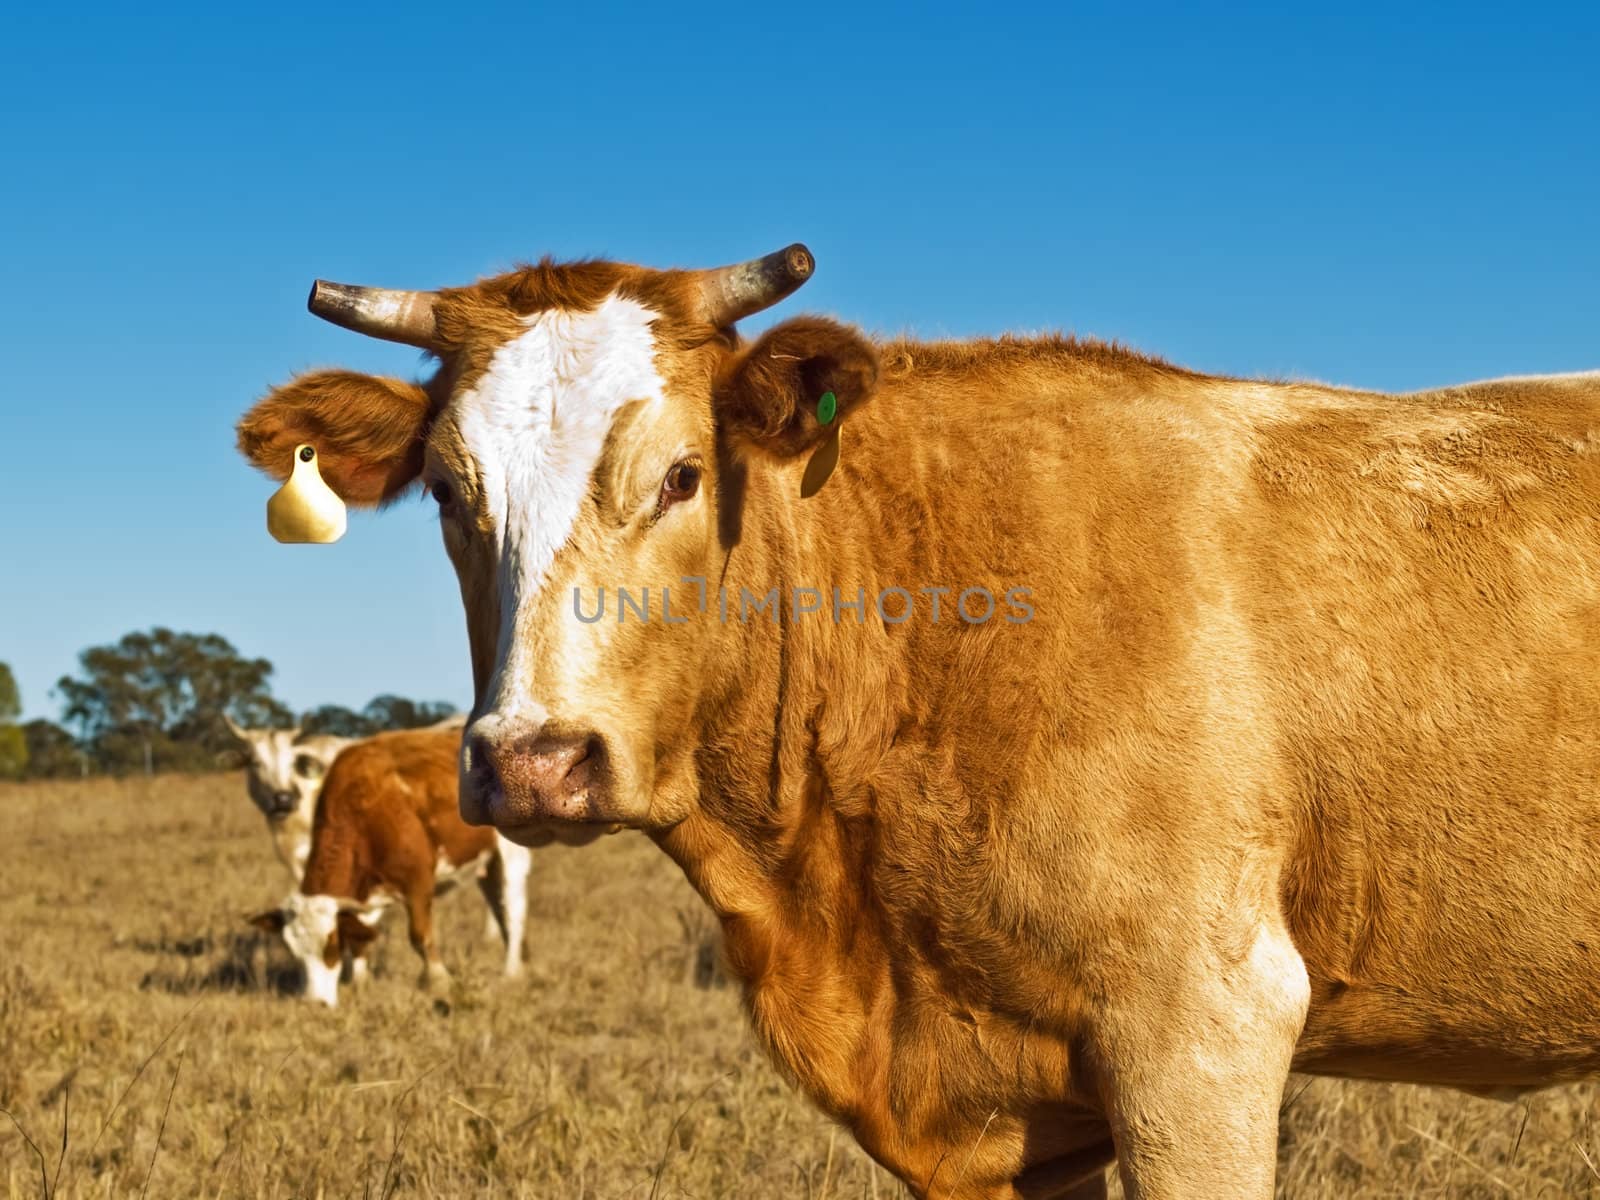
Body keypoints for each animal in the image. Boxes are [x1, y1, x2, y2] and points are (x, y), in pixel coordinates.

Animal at [243, 723, 531, 1004]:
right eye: (293, 951)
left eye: (332, 945)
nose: (314, 1003)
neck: (363, 806)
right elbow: (362, 936)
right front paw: (360, 983)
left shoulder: (418, 882)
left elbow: (420, 936)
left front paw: (439, 981)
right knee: (498, 906)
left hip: (511, 856)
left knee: (514, 912)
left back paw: (511, 972)